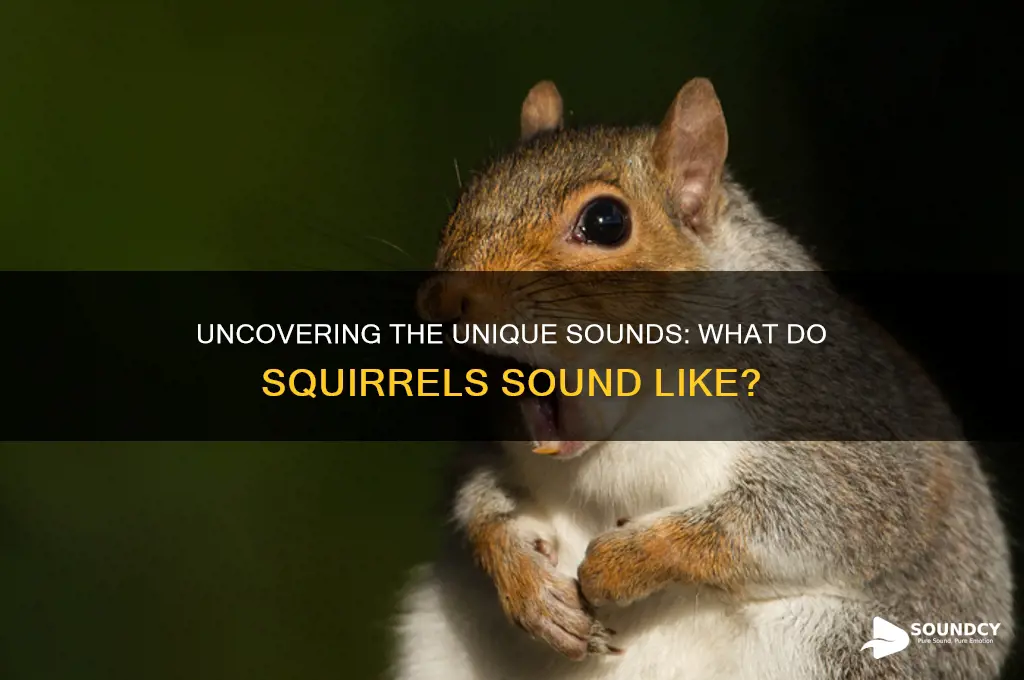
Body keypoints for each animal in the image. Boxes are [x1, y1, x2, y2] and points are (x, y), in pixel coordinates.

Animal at [389, 78, 1014, 679]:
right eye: (462, 200)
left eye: (606, 222)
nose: (440, 300)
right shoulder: (494, 435)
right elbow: (480, 500)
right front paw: (526, 584)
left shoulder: (837, 421)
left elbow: (807, 520)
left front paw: (623, 562)